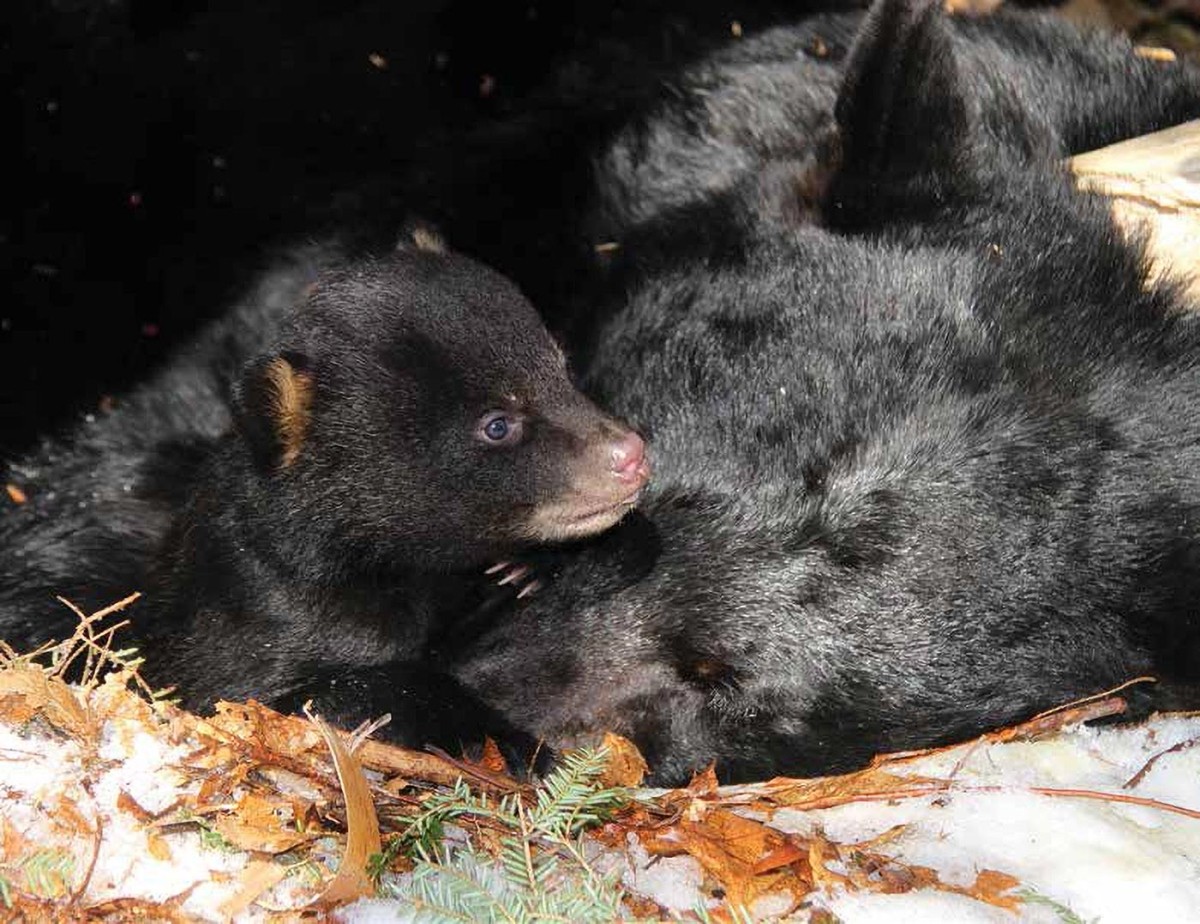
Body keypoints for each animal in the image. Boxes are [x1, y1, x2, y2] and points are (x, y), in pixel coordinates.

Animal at [0, 235, 648, 758]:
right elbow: (303, 688)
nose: (632, 456)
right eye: (497, 424)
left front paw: (520, 570)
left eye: (560, 366)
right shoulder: (274, 619)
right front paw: (513, 744)